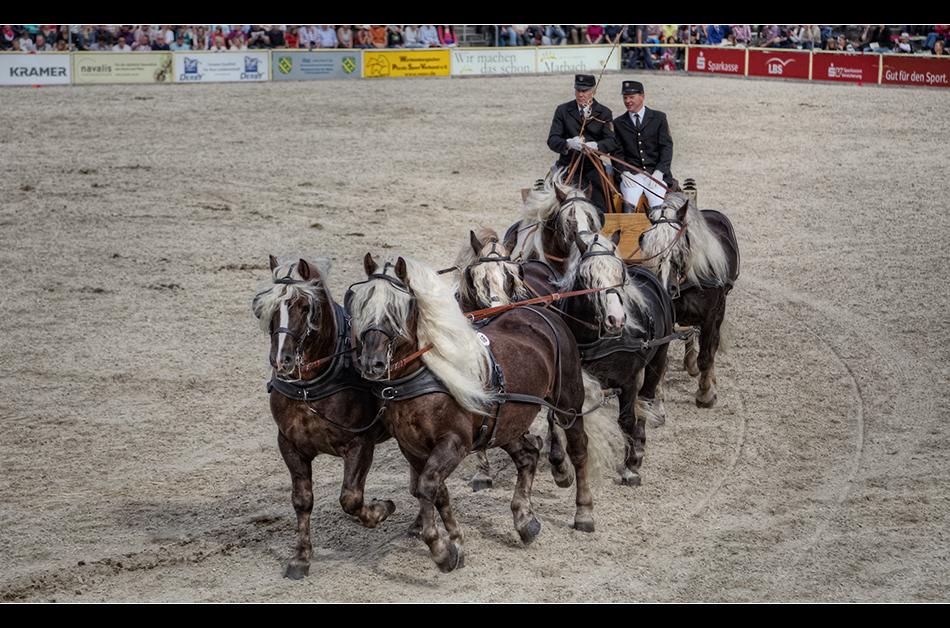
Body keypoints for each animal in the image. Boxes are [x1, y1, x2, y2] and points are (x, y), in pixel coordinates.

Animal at [346, 253, 600, 572]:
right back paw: (524, 519)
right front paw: (455, 541)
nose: (372, 363)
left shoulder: (455, 443)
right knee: (527, 456)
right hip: (505, 422)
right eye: (361, 306)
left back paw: (584, 512)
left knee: (578, 451)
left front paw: (441, 548)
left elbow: (427, 487)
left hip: (568, 404)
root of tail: (540, 311)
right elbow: (435, 490)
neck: (425, 377)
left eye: (397, 308)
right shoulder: (411, 447)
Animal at [640, 191, 744, 408]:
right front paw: (657, 397)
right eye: (646, 243)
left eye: (680, 245)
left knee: (712, 343)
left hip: (720, 310)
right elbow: (661, 357)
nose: (665, 286)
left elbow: (706, 355)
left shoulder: (710, 316)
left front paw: (705, 393)